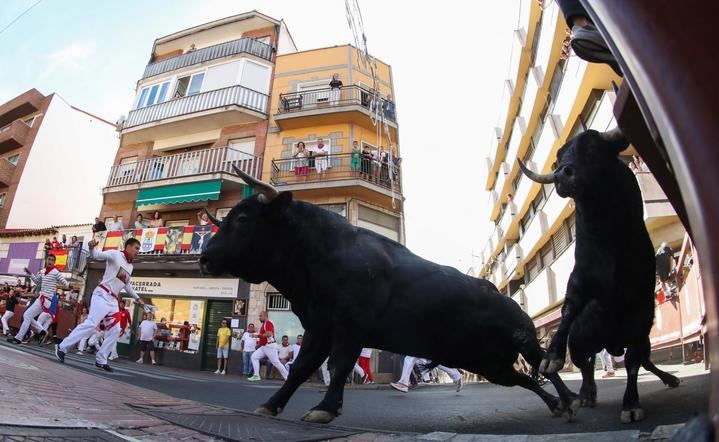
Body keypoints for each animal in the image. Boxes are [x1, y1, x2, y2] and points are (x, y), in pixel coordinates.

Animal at [198, 167, 580, 424]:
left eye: (243, 219)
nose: (204, 258)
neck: (319, 253)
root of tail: (508, 299)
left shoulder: (351, 325)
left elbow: (338, 366)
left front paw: (324, 408)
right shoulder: (320, 327)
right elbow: (300, 368)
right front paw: (272, 404)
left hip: (523, 340)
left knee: (544, 365)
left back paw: (571, 399)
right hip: (490, 364)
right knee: (523, 379)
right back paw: (555, 405)